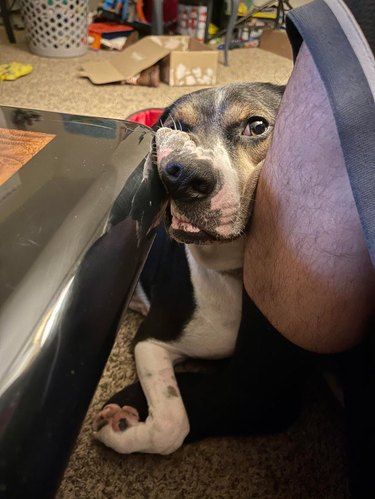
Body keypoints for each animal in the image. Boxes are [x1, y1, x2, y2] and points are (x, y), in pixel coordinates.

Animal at [94, 83, 308, 458]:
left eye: (257, 125)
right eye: (174, 127)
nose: (183, 176)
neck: (231, 271)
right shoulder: (152, 341)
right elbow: (171, 423)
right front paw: (122, 428)